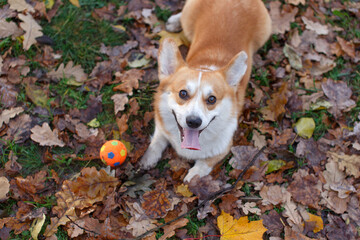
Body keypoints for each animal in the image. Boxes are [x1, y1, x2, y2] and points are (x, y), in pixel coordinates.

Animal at [140, 0, 270, 181]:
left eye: (212, 99)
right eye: (183, 93)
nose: (194, 122)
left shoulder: (224, 146)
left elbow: (205, 162)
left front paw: (193, 176)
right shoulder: (161, 126)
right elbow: (157, 140)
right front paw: (148, 158)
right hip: (188, 20)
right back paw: (174, 21)